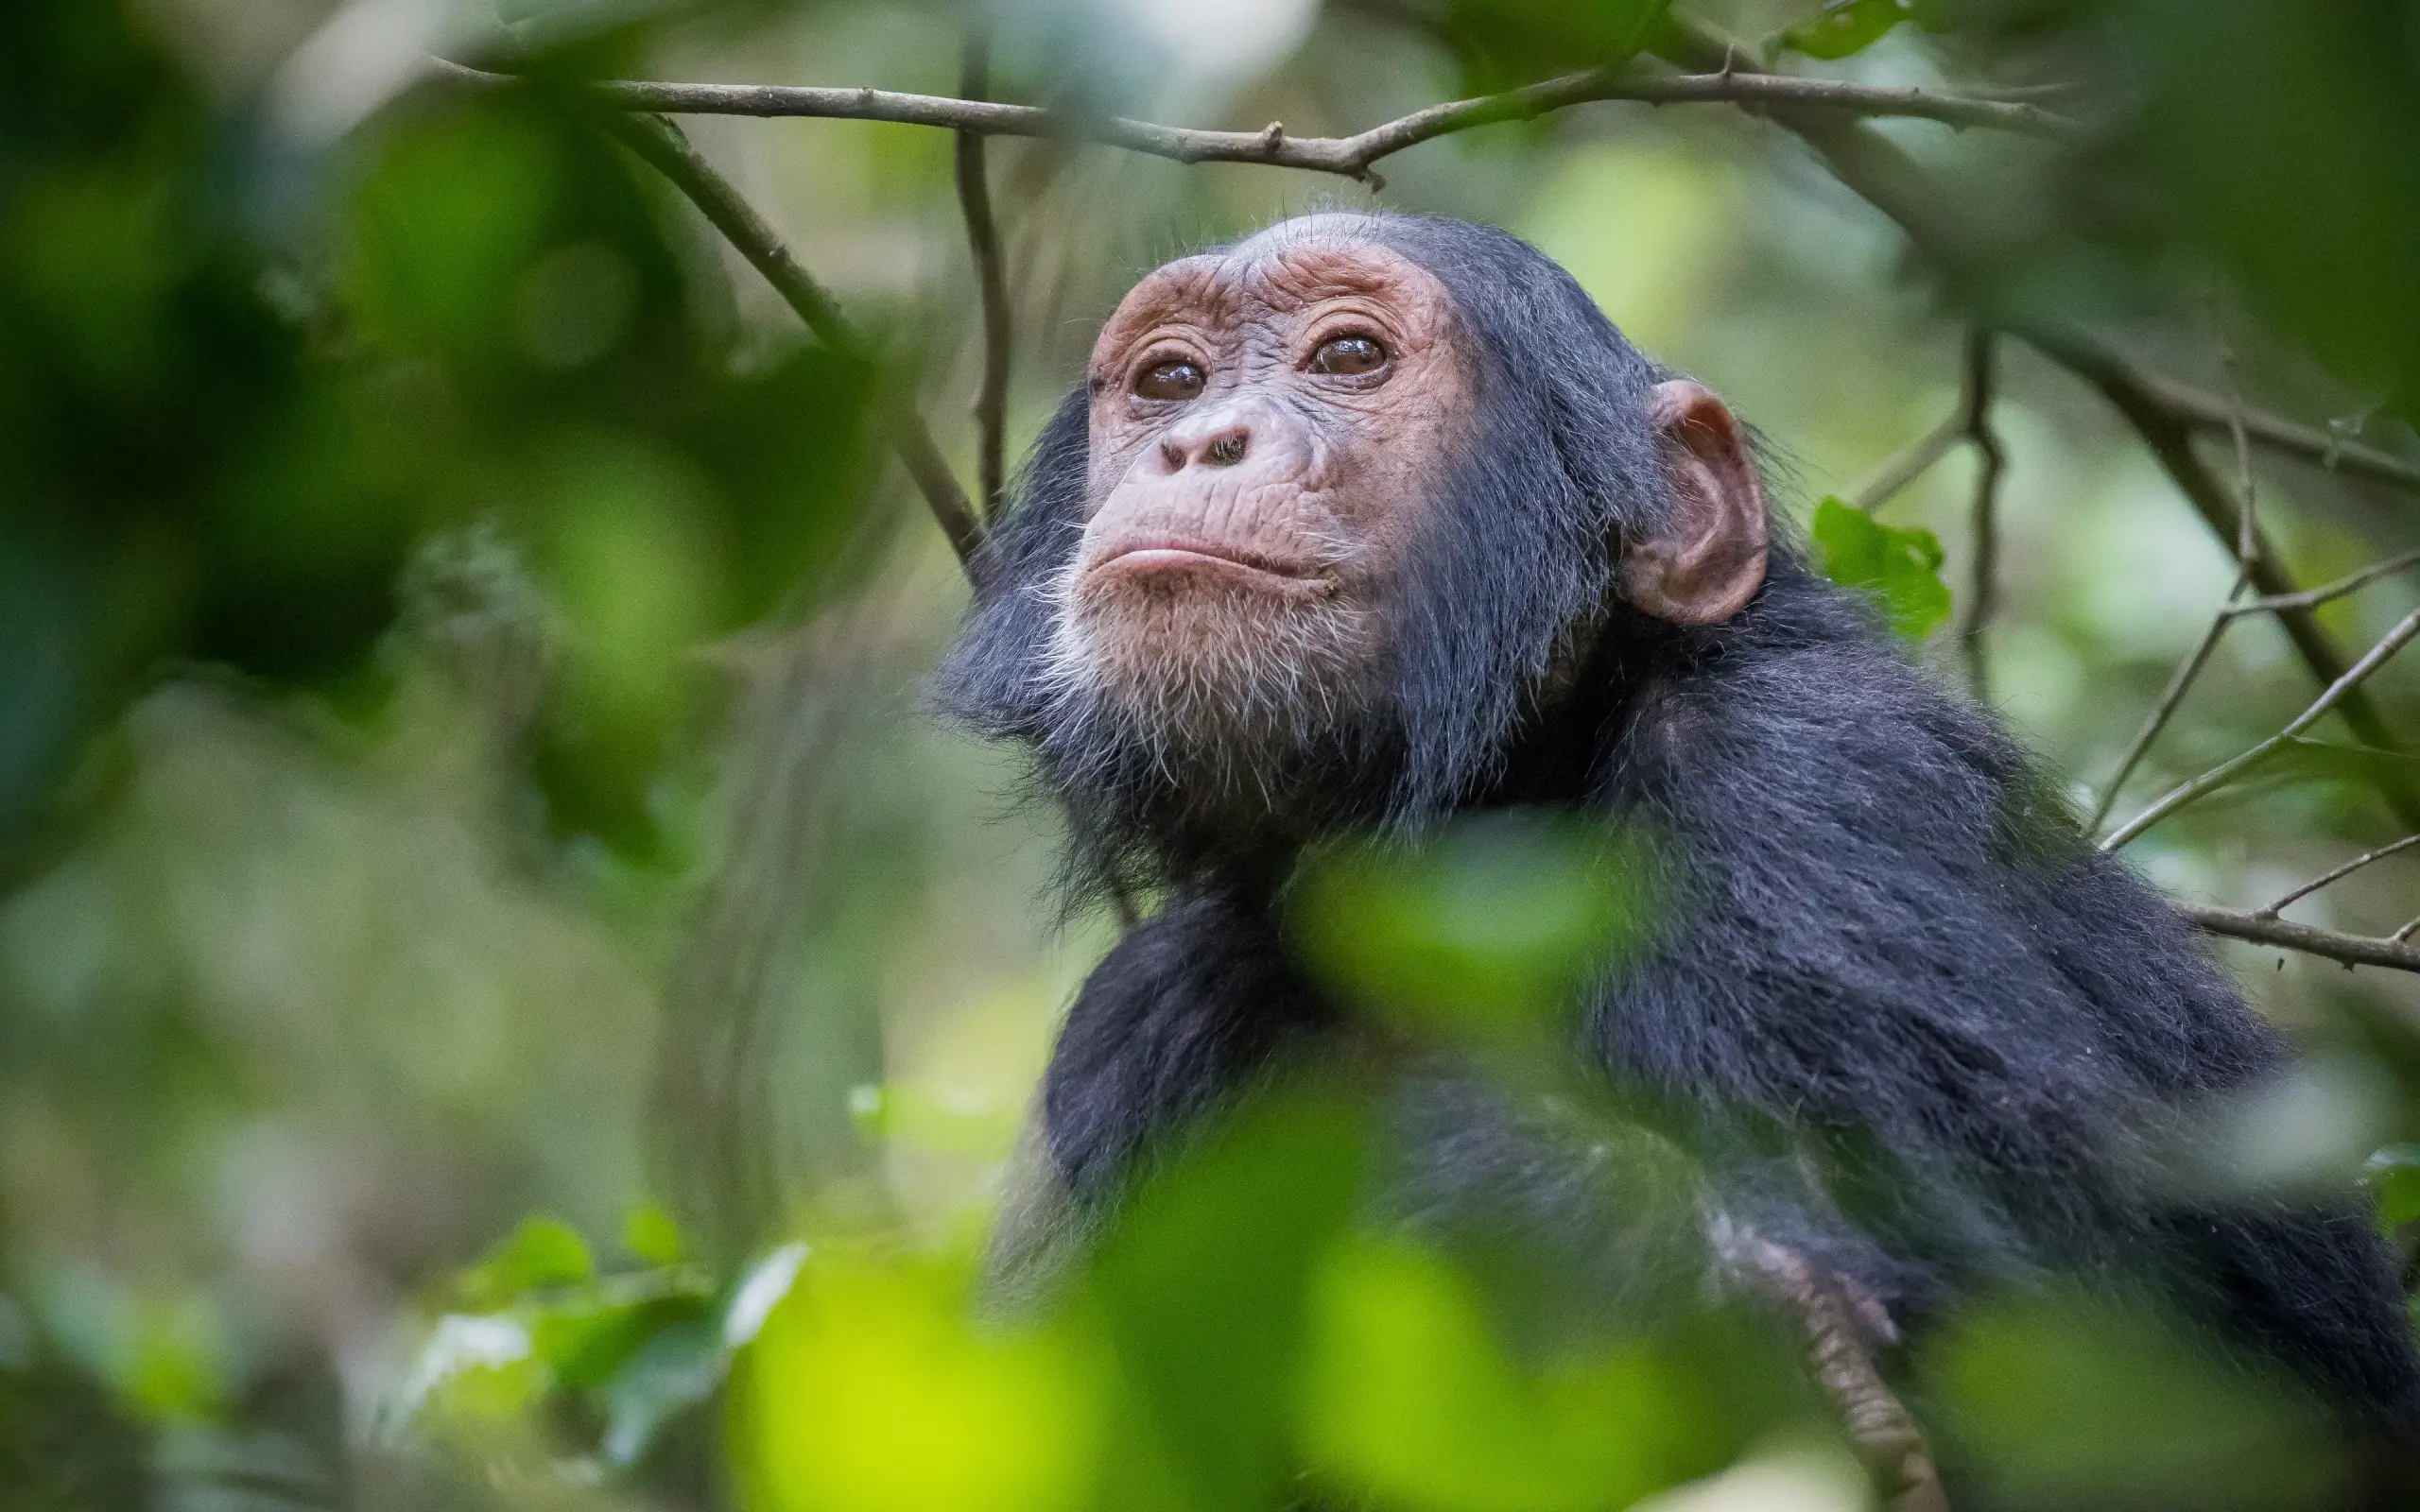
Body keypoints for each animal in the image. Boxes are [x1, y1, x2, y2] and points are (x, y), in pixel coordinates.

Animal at [938, 211, 2420, 1507]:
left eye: (1347, 356)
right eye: (1168, 379)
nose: (1202, 439)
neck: (1485, 820)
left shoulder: (1807, 799)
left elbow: (2079, 1362)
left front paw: (1454, 1166)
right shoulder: (1133, 1023)